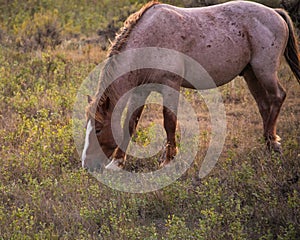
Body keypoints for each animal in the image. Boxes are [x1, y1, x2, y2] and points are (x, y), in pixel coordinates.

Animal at [81, 0, 298, 172]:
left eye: (98, 129)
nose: (87, 164)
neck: (150, 37)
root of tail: (275, 12)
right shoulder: (140, 90)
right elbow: (130, 123)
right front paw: (117, 163)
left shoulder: (171, 85)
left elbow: (169, 122)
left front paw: (168, 161)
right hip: (251, 74)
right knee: (264, 105)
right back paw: (269, 144)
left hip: (264, 71)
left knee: (278, 97)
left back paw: (273, 144)